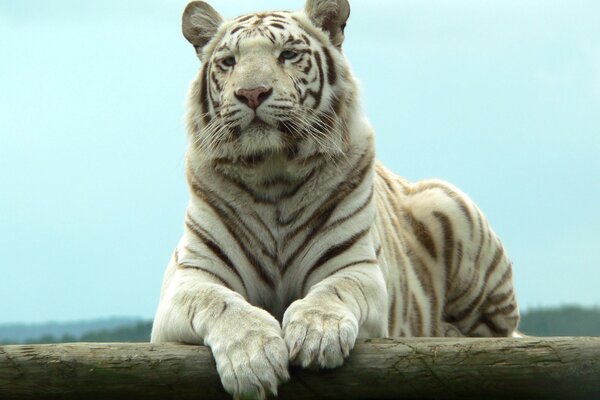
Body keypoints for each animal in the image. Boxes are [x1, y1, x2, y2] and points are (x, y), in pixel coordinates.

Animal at [151, 0, 520, 396]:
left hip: (448, 206)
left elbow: (333, 291)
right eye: (229, 61)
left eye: (288, 54)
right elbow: (221, 303)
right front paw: (252, 359)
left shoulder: (355, 267)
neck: (271, 173)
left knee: (499, 332)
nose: (252, 93)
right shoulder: (190, 278)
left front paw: (315, 335)